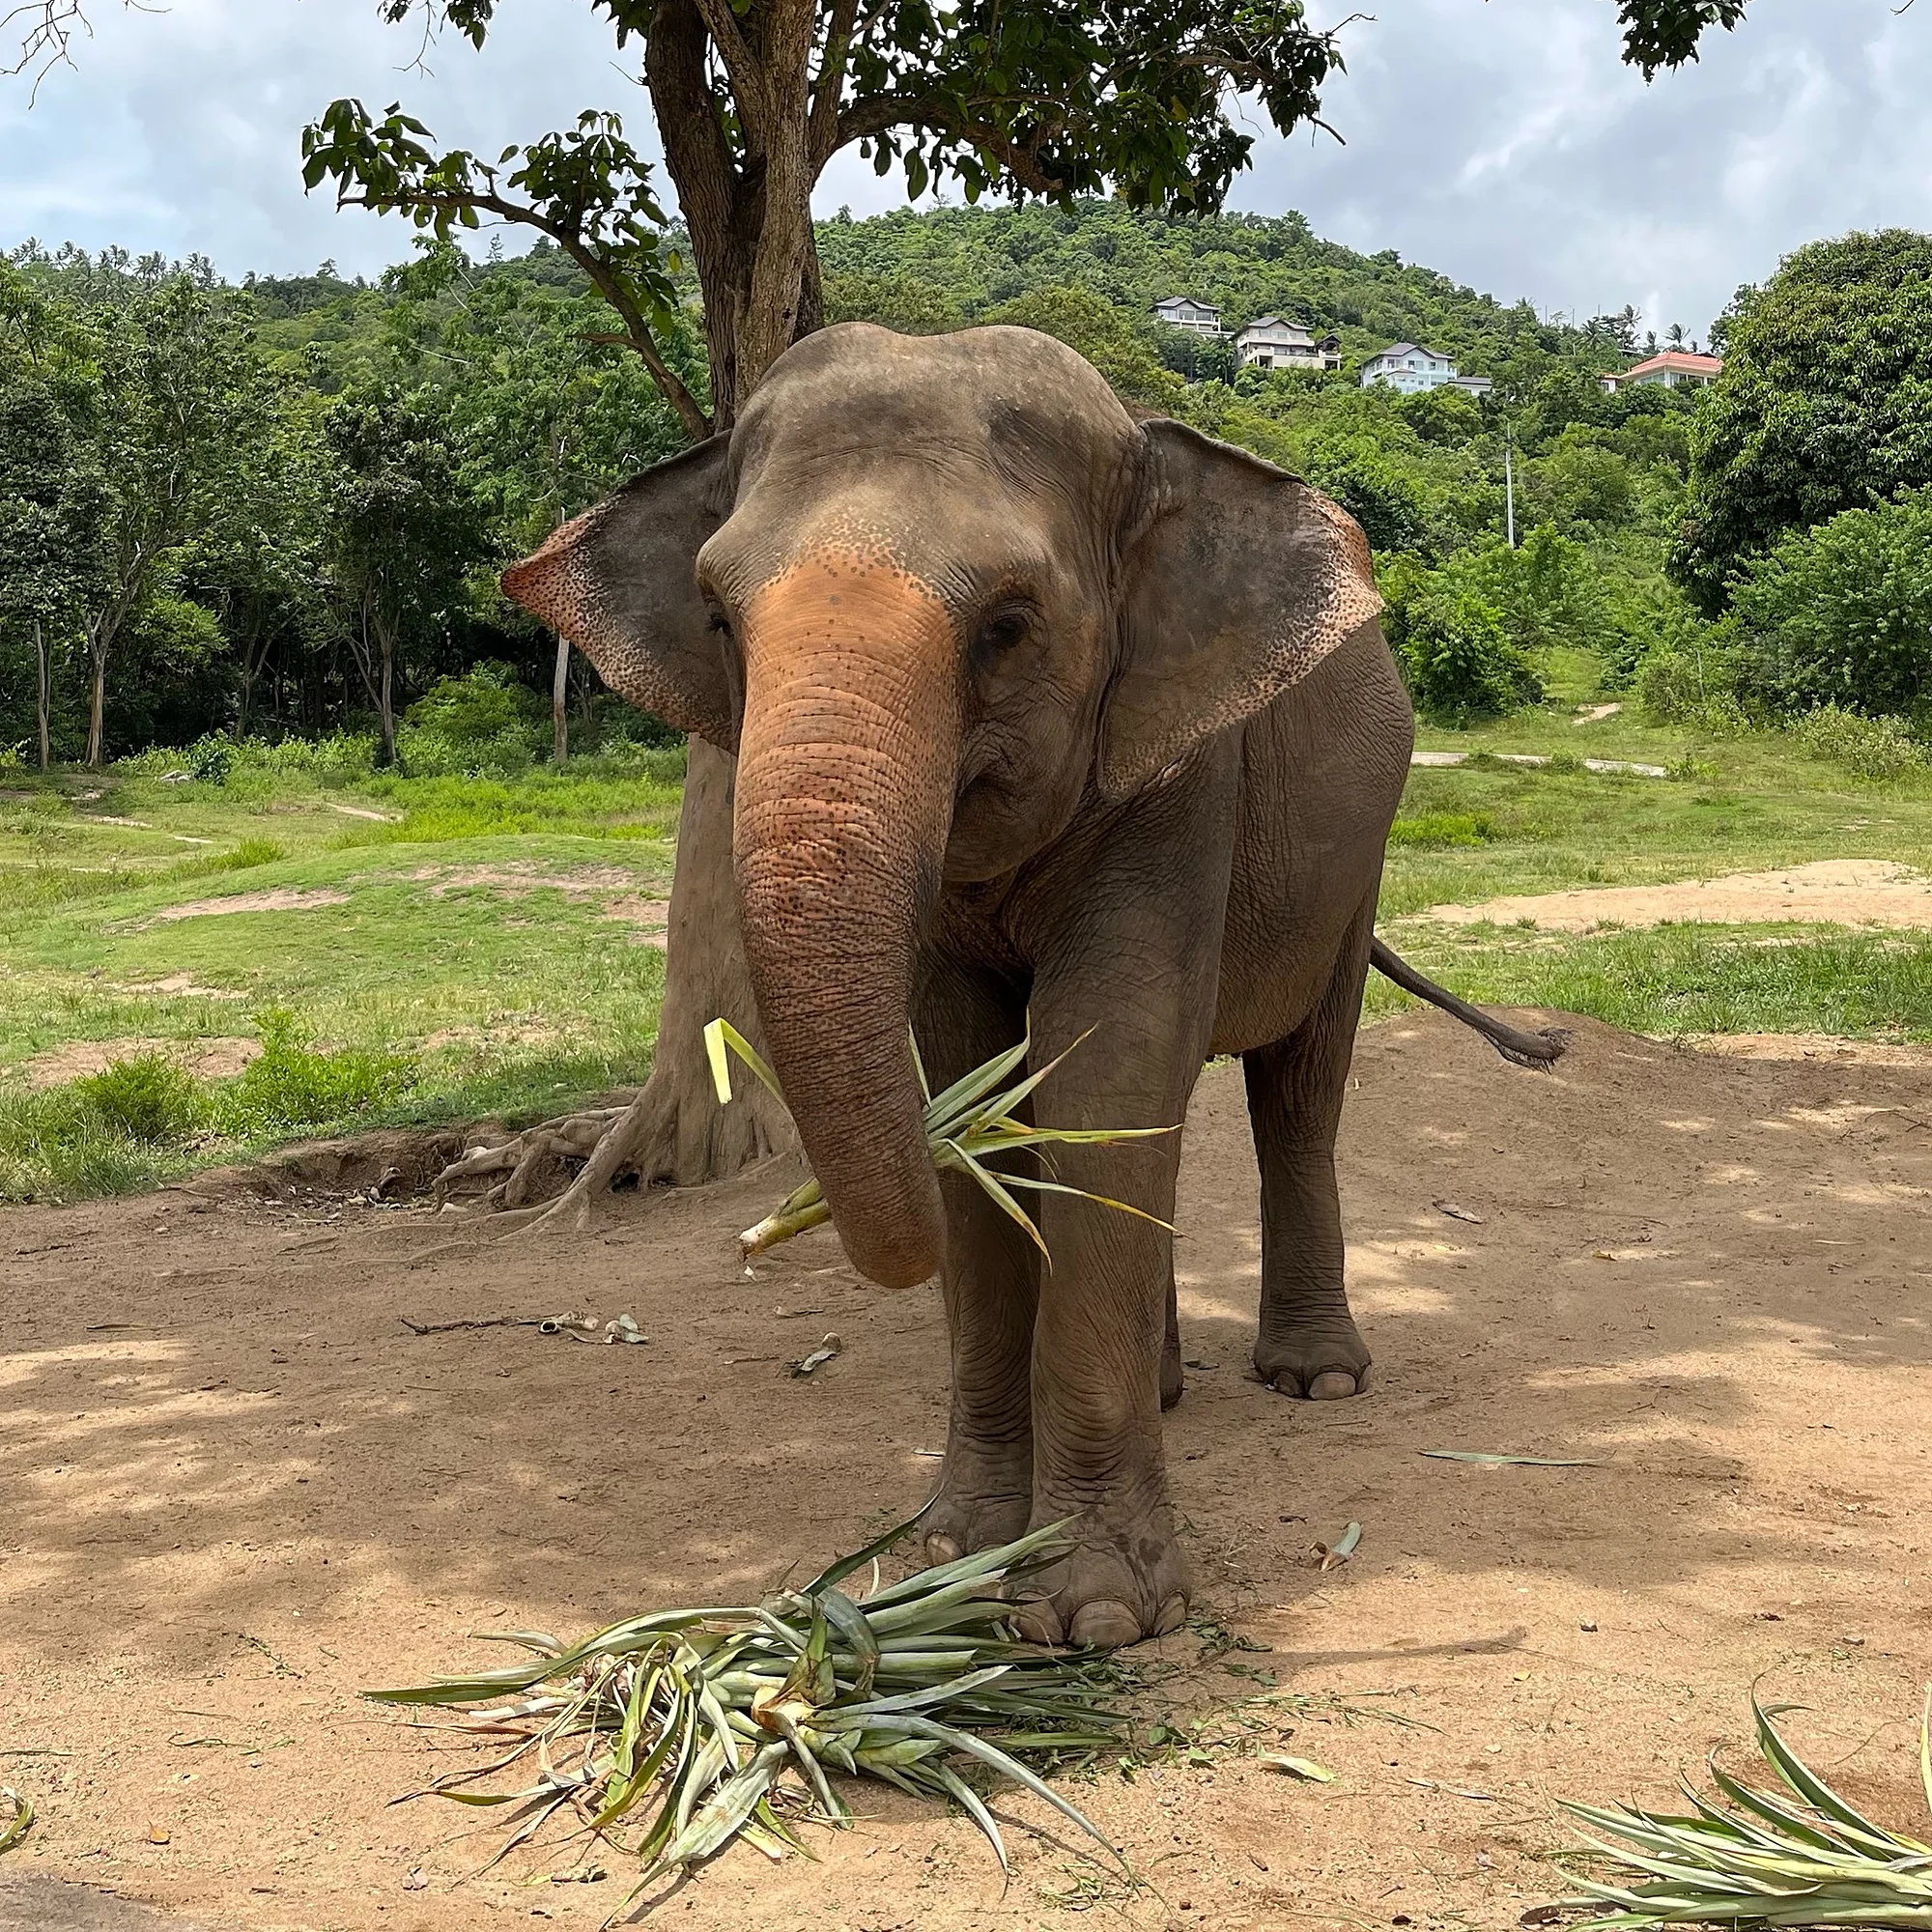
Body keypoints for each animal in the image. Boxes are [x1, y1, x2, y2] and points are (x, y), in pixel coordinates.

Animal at [505, 322, 1563, 1646]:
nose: (767, 1234)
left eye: (1007, 625)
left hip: (1354, 866)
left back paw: (1316, 1377)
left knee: (1293, 1091)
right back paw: (1168, 1389)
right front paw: (945, 1557)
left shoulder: (1180, 770)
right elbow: (987, 1079)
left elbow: (1102, 1051)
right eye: (715, 616)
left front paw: (1096, 1613)